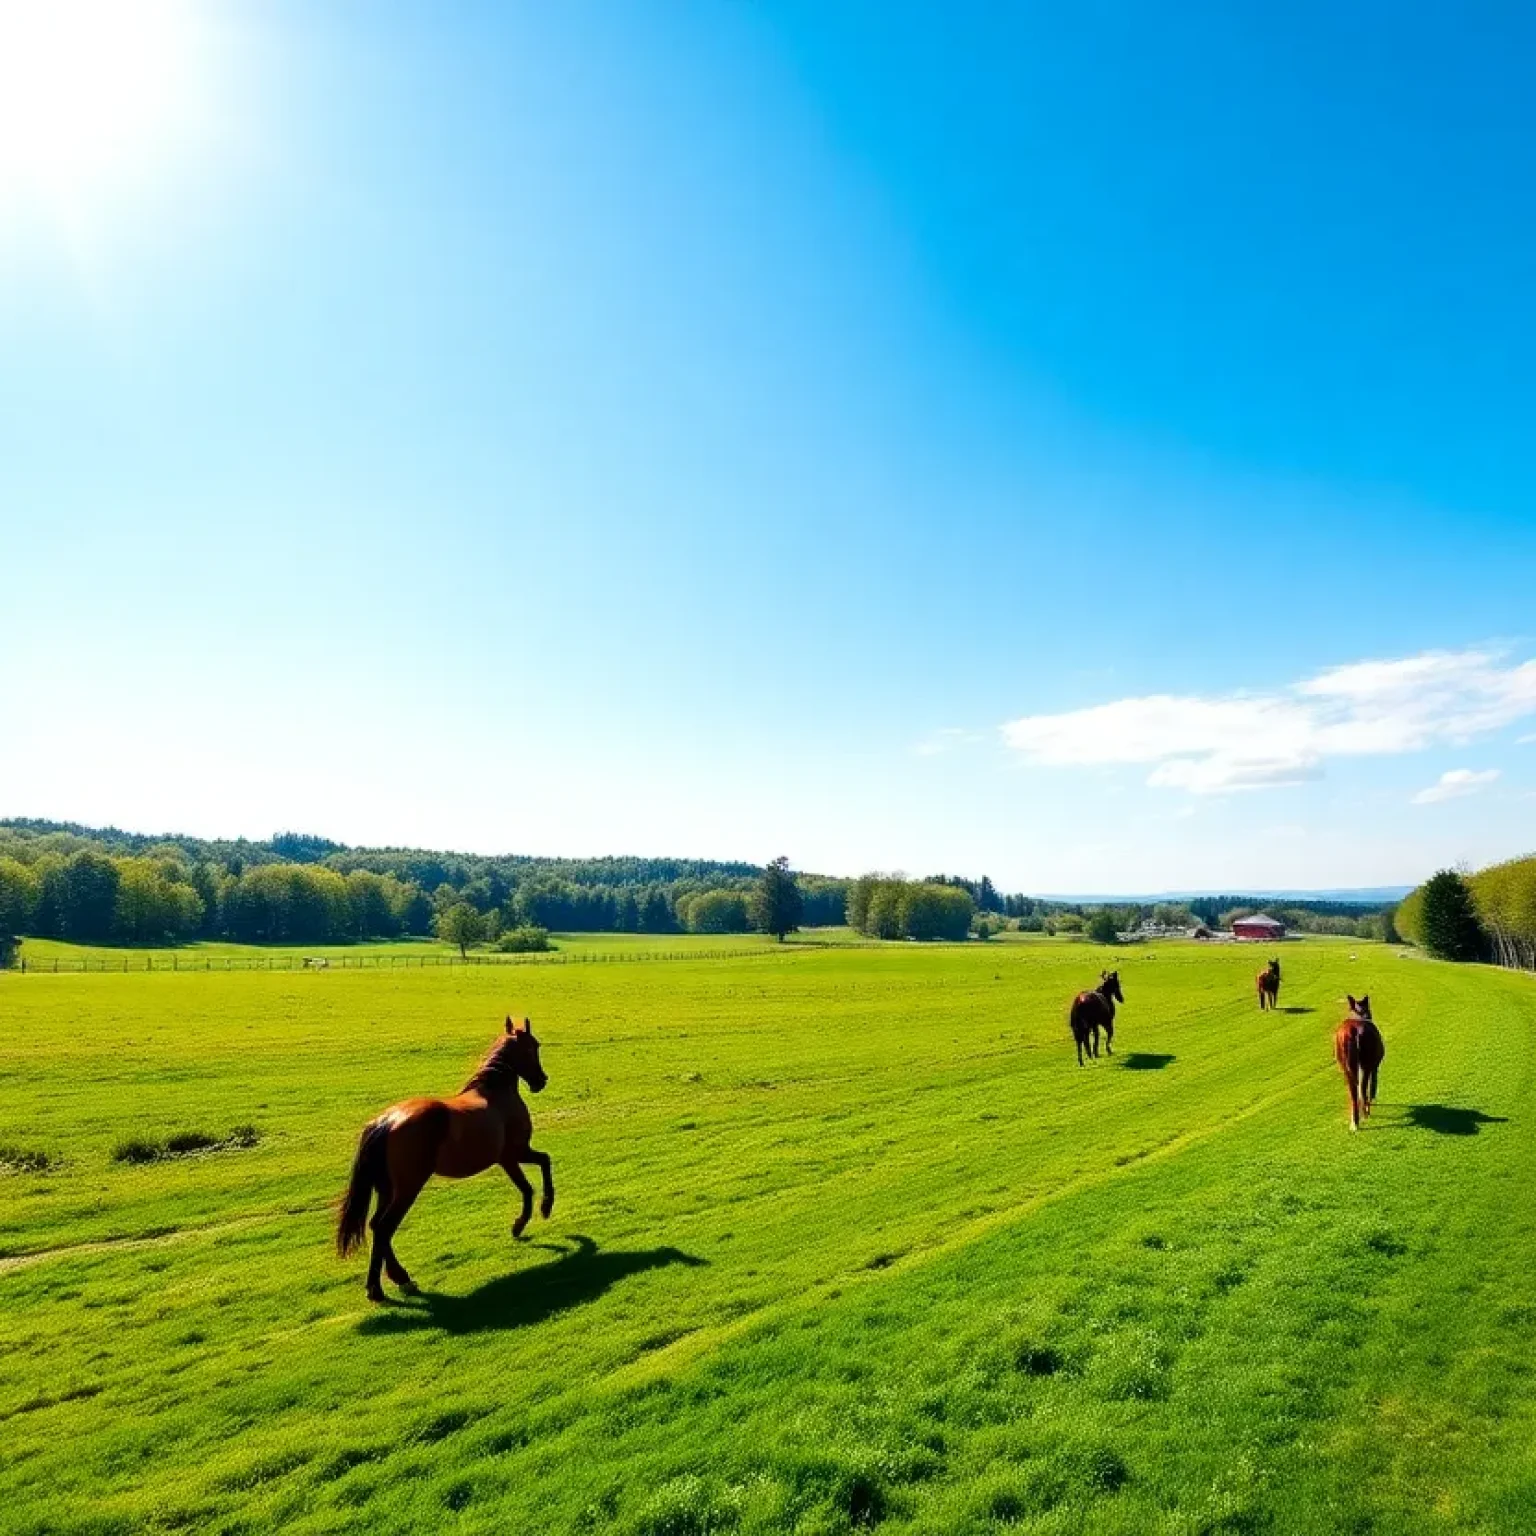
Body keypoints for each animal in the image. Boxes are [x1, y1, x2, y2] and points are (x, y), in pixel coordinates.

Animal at [334, 1013, 552, 1302]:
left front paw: (519, 1225)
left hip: (387, 1189)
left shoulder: (507, 1158)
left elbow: (528, 1185)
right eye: (533, 1047)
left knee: (376, 1226)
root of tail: (386, 1122)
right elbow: (541, 1167)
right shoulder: (515, 1153)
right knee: (384, 1228)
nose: (541, 1080)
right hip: (407, 1189)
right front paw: (540, 1211)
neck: (494, 1093)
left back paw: (400, 1278)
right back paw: (377, 1288)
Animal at [1333, 995, 1382, 1130]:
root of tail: (1352, 1031)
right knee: (1363, 1089)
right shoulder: (1374, 1066)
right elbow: (1373, 1087)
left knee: (1354, 1094)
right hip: (1365, 1064)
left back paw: (1354, 1122)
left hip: (1347, 1067)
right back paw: (1365, 1113)